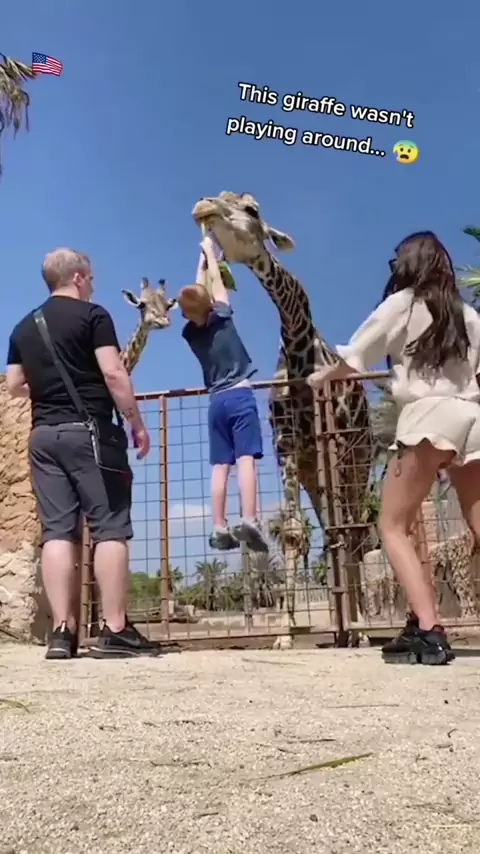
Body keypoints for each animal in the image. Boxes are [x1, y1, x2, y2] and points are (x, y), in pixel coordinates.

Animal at [192, 192, 373, 648]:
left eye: (252, 210)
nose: (205, 206)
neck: (298, 348)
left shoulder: (336, 445)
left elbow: (344, 531)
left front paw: (359, 630)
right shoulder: (288, 446)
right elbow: (294, 533)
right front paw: (287, 634)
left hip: (358, 462)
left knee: (355, 531)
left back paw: (360, 629)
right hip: (314, 473)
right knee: (331, 528)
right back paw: (342, 626)